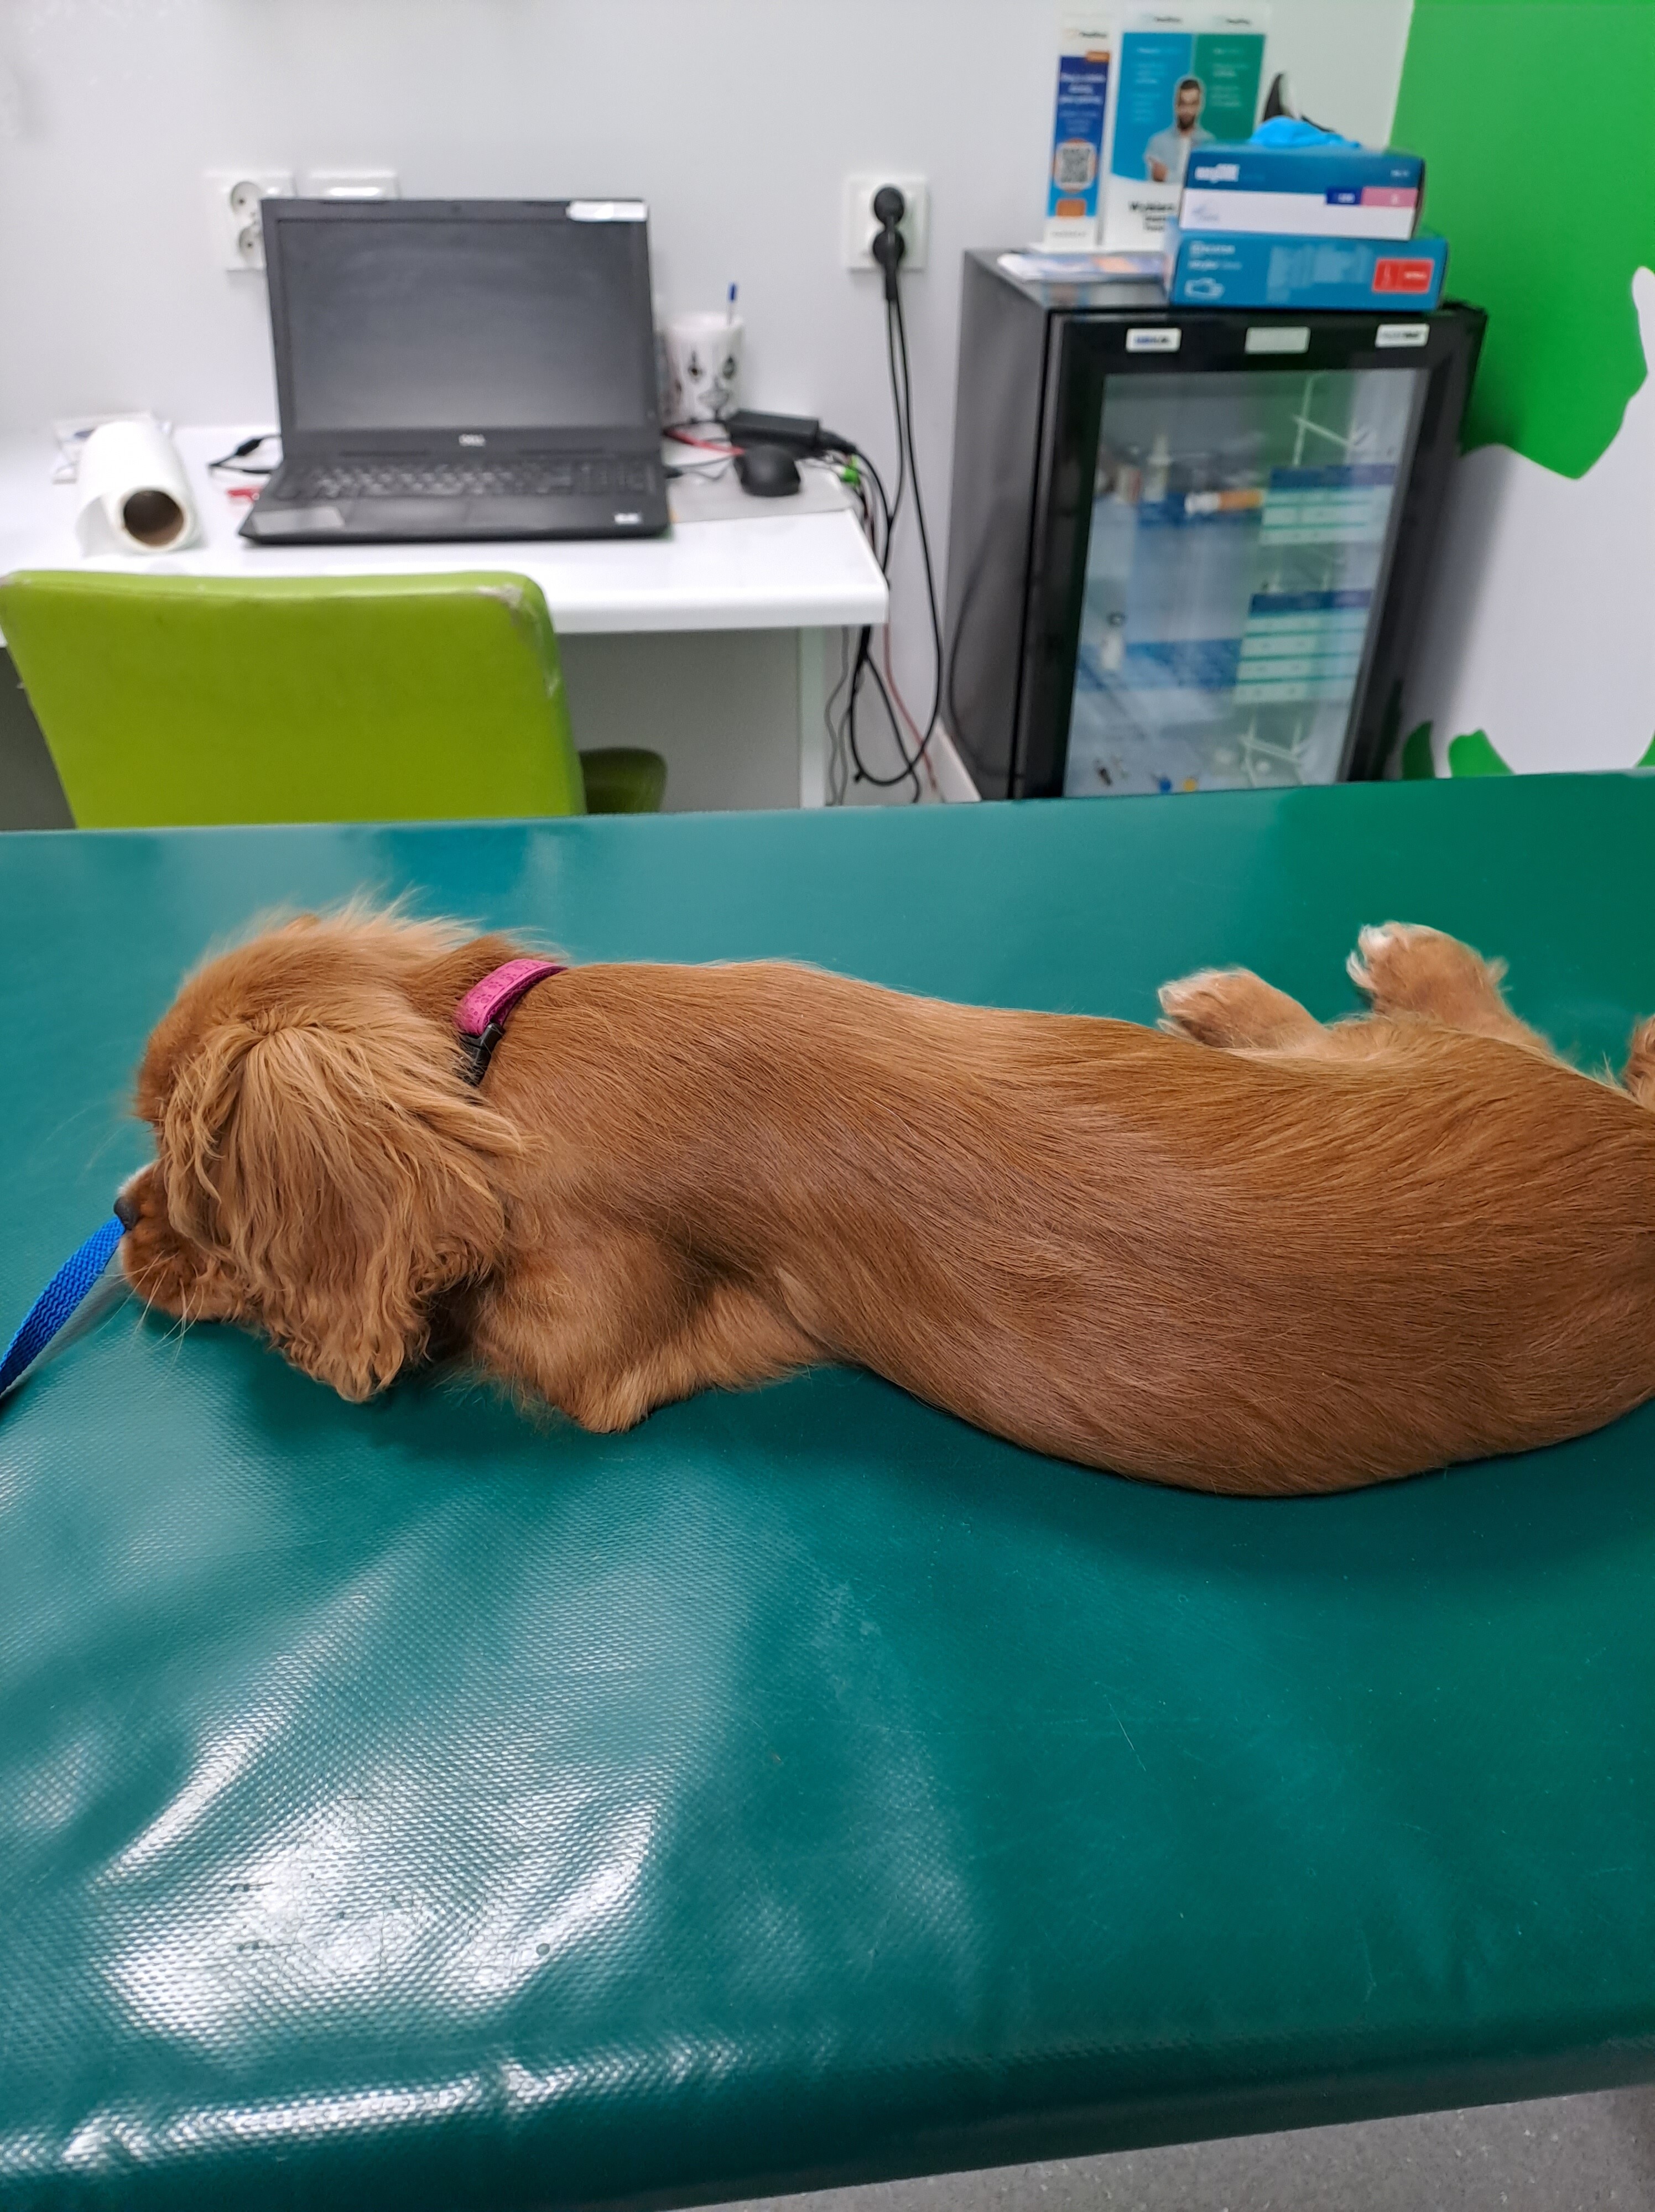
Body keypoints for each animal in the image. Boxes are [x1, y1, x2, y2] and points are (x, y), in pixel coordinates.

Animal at [115, 908, 1655, 1497]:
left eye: (186, 1172)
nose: (120, 1224)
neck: (508, 1051)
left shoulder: (587, 1343)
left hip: (1426, 1070)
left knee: (1501, 1029)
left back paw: (1378, 961)